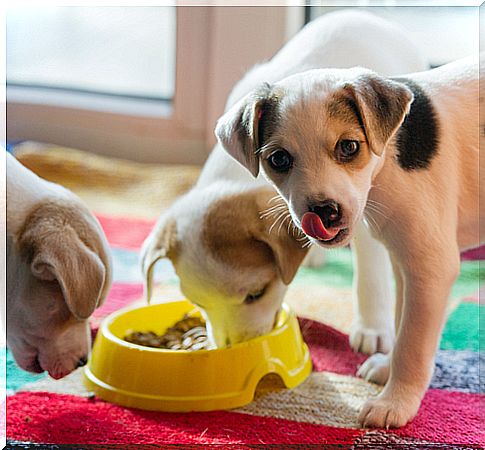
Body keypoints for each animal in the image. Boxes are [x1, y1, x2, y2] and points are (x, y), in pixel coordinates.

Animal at [216, 51, 480, 426]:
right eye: (278, 159)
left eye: (349, 146)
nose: (323, 211)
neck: (388, 163)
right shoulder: (404, 262)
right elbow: (401, 323)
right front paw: (387, 369)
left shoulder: (430, 268)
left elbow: (411, 345)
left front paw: (395, 402)